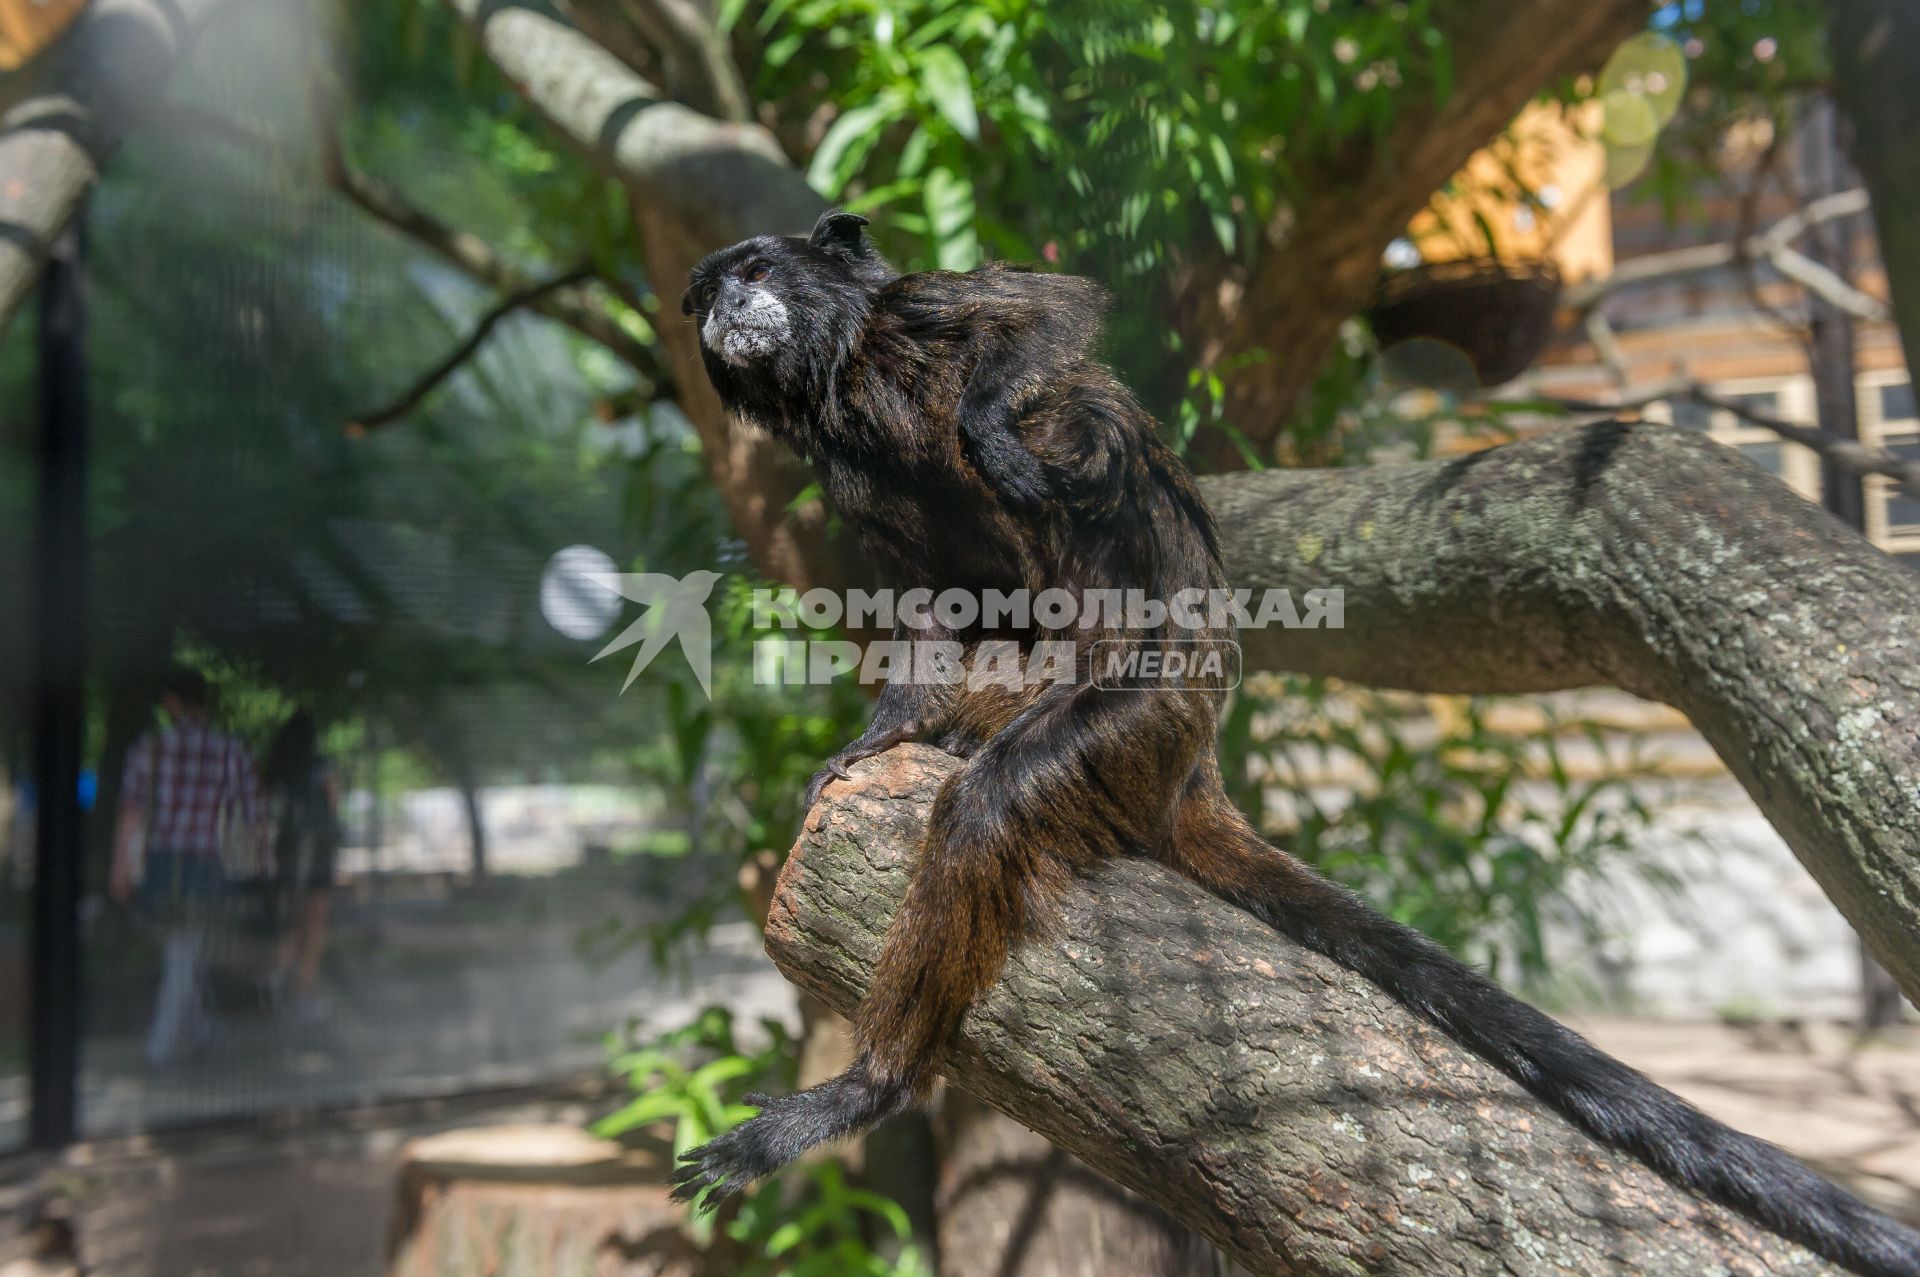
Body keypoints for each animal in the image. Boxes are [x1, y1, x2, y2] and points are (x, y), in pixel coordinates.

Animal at [672, 209, 1920, 1275]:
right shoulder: (838, 465)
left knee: (1066, 475)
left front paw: (996, 422)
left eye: (756, 272)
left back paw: (871, 1085)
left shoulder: (914, 311)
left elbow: (1047, 316)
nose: (721, 310)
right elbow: (926, 592)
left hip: (1135, 716)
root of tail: (1193, 767)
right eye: (703, 294)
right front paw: (881, 729)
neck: (845, 378)